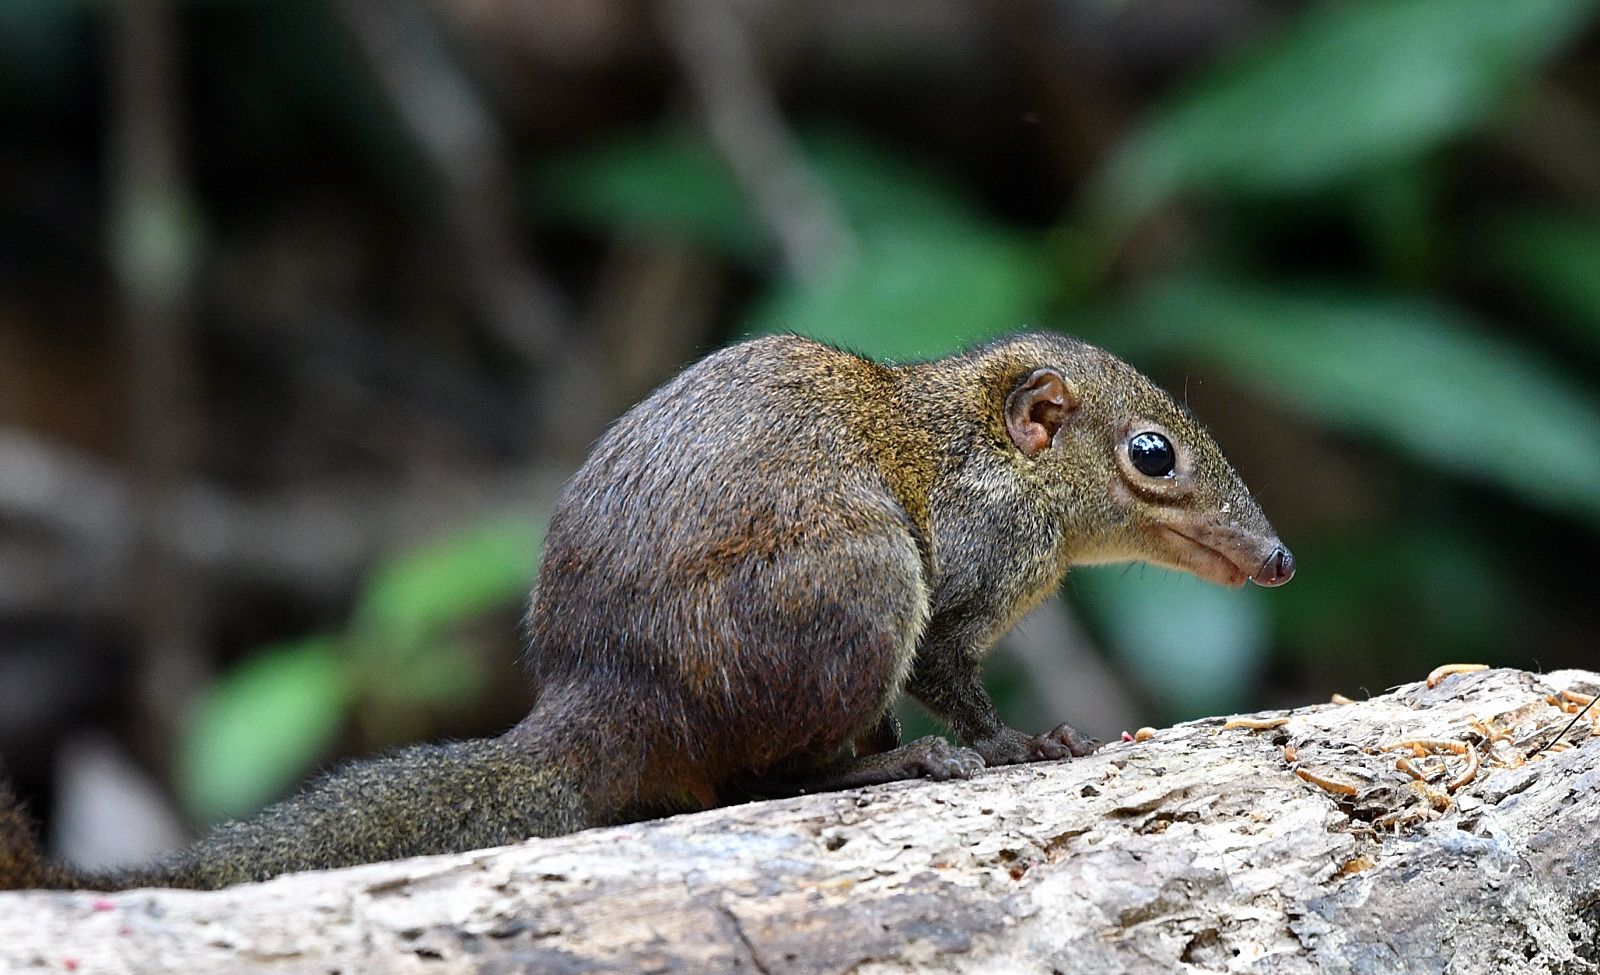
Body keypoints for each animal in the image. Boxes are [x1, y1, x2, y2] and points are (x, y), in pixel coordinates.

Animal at [0, 330, 1292, 890]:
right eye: (1153, 454)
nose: (1277, 558)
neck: (979, 448)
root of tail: (604, 707)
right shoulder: (961, 577)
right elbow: (950, 681)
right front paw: (1018, 743)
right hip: (861, 578)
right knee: (772, 776)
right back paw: (892, 765)